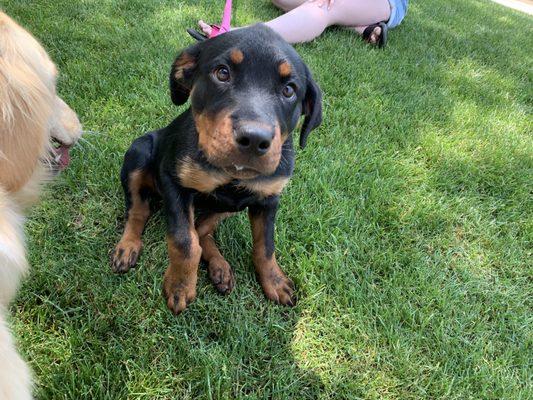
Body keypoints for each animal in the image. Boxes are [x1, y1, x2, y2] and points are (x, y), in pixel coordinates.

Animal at [110, 23, 322, 314]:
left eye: (289, 90)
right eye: (222, 73)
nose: (254, 139)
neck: (230, 172)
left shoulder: (268, 198)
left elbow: (265, 246)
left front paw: (275, 281)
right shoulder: (173, 181)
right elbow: (184, 241)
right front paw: (180, 285)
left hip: (229, 207)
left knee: (203, 229)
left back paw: (219, 267)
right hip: (139, 151)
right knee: (139, 210)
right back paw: (128, 246)